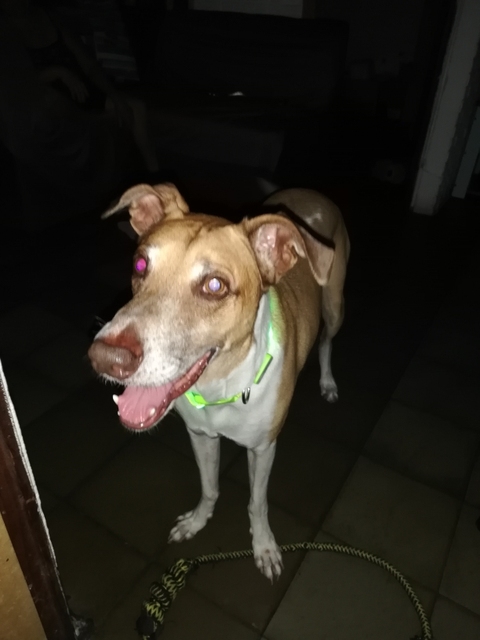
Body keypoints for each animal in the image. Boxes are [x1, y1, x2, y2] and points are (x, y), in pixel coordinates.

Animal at [88, 183, 349, 580]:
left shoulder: (263, 448)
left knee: (326, 341)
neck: (219, 387)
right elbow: (209, 486)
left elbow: (257, 503)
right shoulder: (200, 436)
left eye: (215, 285)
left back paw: (328, 381)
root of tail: (311, 193)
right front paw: (196, 522)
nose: (106, 358)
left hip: (335, 306)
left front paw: (264, 547)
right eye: (140, 265)